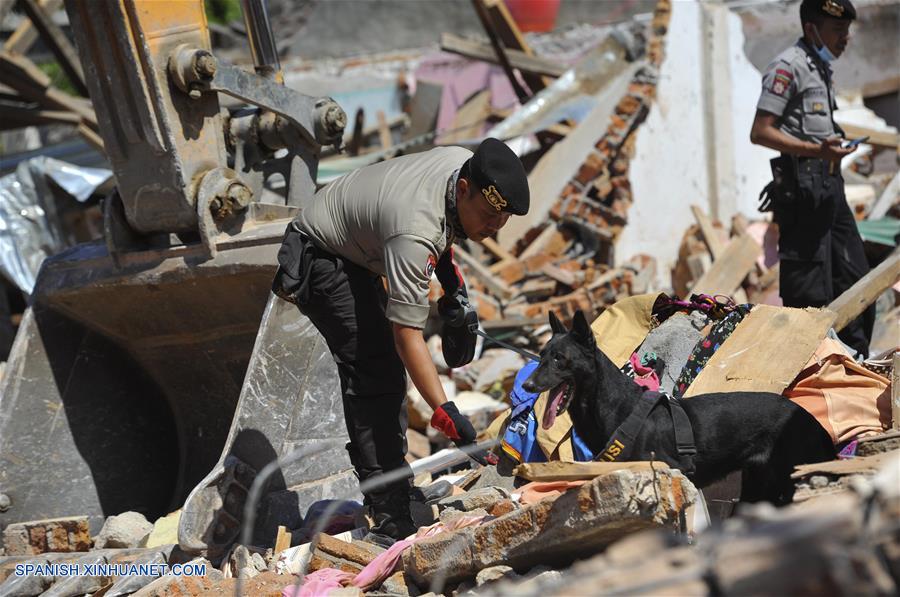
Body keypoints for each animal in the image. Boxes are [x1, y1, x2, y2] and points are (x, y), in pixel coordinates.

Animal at [520, 312, 836, 502]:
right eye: (542, 355)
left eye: (560, 359)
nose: (527, 385)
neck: (616, 408)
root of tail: (814, 422)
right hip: (759, 484)